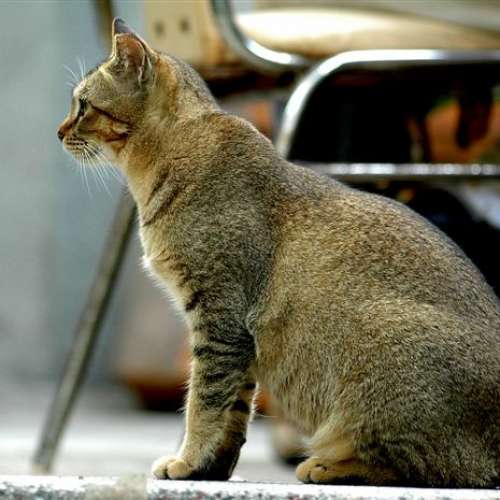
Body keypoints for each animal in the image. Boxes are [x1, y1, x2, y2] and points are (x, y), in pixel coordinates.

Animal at [57, 18, 500, 487]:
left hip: (382, 343)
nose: (60, 131)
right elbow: (233, 415)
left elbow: (203, 403)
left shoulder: (220, 319)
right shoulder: (239, 340)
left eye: (83, 106)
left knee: (424, 467)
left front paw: (188, 462)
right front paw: (211, 470)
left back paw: (327, 465)